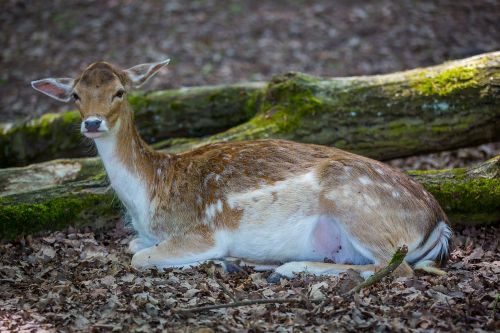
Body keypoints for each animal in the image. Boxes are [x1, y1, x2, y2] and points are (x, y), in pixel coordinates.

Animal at [32, 59, 454, 280]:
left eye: (119, 91)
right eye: (75, 95)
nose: (92, 123)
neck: (149, 196)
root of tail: (440, 224)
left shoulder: (203, 232)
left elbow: (139, 256)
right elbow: (133, 245)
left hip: (355, 205)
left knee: (396, 270)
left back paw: (280, 266)